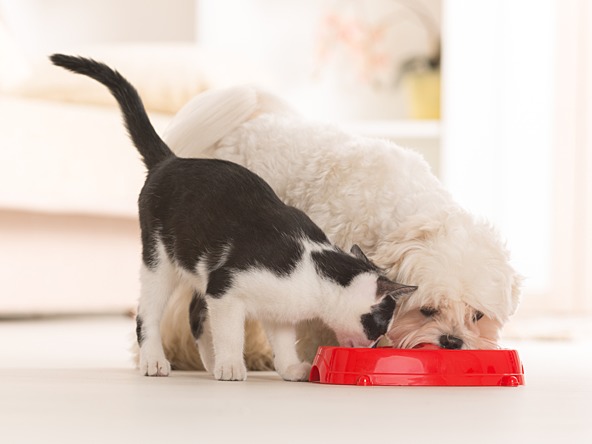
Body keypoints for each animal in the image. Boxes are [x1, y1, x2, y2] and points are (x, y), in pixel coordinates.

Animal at [52, 54, 416, 382]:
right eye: (380, 325)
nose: (376, 346)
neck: (313, 269)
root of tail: (171, 160)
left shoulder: (276, 311)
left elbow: (282, 341)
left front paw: (289, 369)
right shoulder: (225, 288)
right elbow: (229, 332)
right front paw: (231, 366)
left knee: (194, 314)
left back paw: (209, 363)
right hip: (160, 260)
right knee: (148, 314)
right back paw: (157, 361)